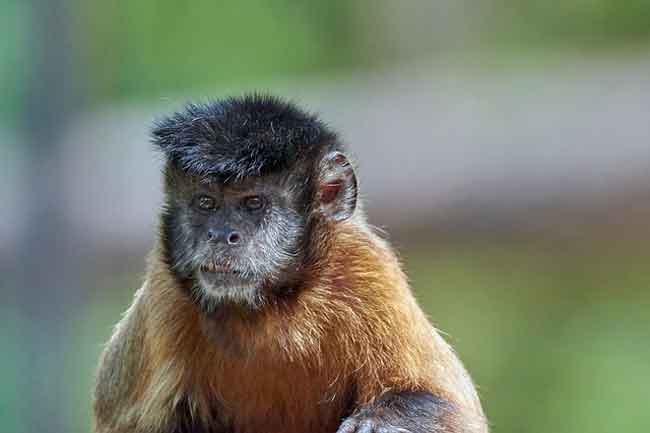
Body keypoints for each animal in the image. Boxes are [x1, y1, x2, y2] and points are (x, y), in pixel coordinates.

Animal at [92, 95, 486, 432]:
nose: (221, 234)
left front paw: (377, 424)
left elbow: (451, 407)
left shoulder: (366, 266)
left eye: (253, 203)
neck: (272, 306)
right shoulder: (166, 293)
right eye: (205, 203)